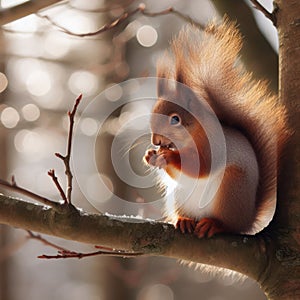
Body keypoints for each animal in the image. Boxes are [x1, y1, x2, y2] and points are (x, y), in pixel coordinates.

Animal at [144, 19, 290, 238]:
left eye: (175, 119)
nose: (156, 141)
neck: (191, 138)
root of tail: (247, 220)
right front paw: (150, 155)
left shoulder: (214, 146)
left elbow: (203, 166)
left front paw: (168, 156)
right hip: (180, 196)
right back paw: (185, 220)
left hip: (231, 190)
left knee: (229, 224)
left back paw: (215, 225)